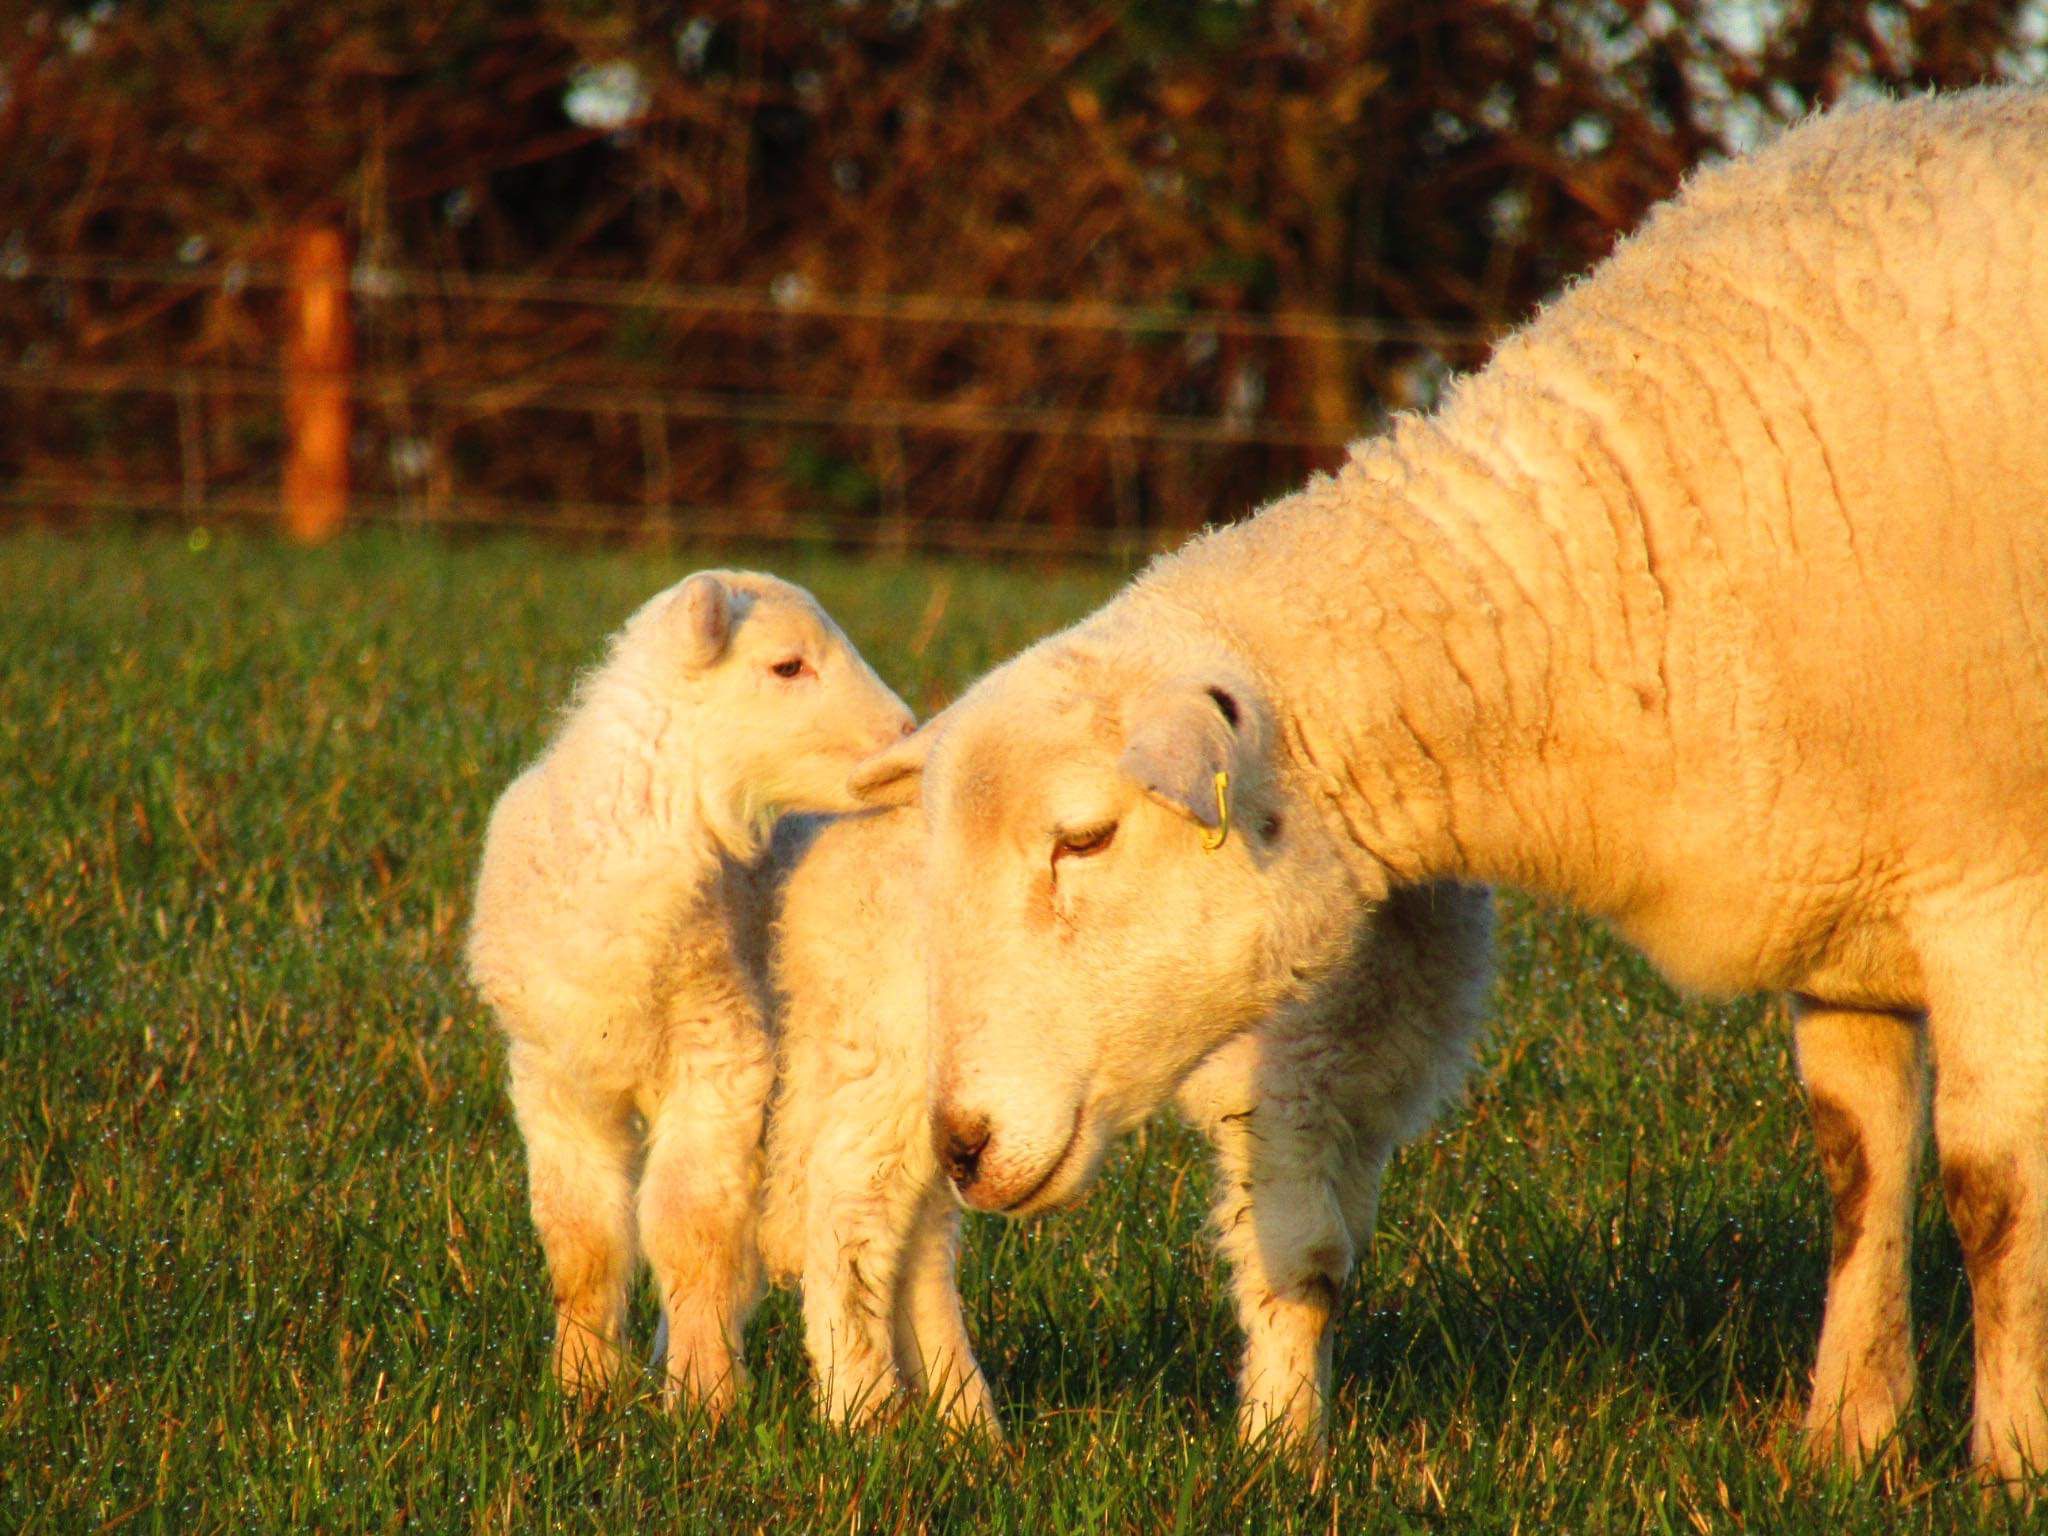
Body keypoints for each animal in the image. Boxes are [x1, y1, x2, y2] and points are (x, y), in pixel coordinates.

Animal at [468, 573, 917, 1417]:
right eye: (786, 666)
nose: (906, 736)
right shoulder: (552, 1074)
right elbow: (581, 1238)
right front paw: (581, 1389)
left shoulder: (723, 1054)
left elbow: (691, 1227)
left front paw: (703, 1399)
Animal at [843, 90, 2048, 1482]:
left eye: (1082, 841)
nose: (960, 1146)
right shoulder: (1841, 909)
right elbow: (1858, 1168)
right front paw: (1842, 1440)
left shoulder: (1990, 888)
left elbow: (1990, 1188)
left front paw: (2006, 1462)